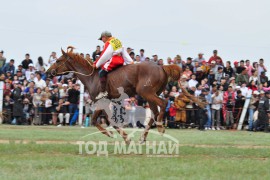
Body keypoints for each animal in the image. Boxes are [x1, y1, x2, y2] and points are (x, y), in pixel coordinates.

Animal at [47, 46, 205, 143]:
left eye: (58, 60)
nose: (49, 72)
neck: (92, 76)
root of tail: (162, 67)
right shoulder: (106, 102)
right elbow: (108, 120)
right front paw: (124, 137)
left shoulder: (101, 101)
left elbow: (96, 120)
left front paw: (113, 134)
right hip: (150, 95)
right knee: (153, 113)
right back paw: (142, 137)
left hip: (146, 93)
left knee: (163, 104)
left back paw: (160, 127)